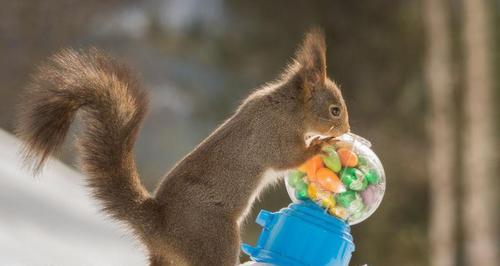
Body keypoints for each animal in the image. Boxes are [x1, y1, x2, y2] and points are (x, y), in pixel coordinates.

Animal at [16, 28, 352, 264]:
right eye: (335, 110)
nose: (347, 130)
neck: (290, 106)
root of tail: (160, 230)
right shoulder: (274, 133)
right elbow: (289, 158)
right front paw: (321, 145)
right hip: (216, 239)